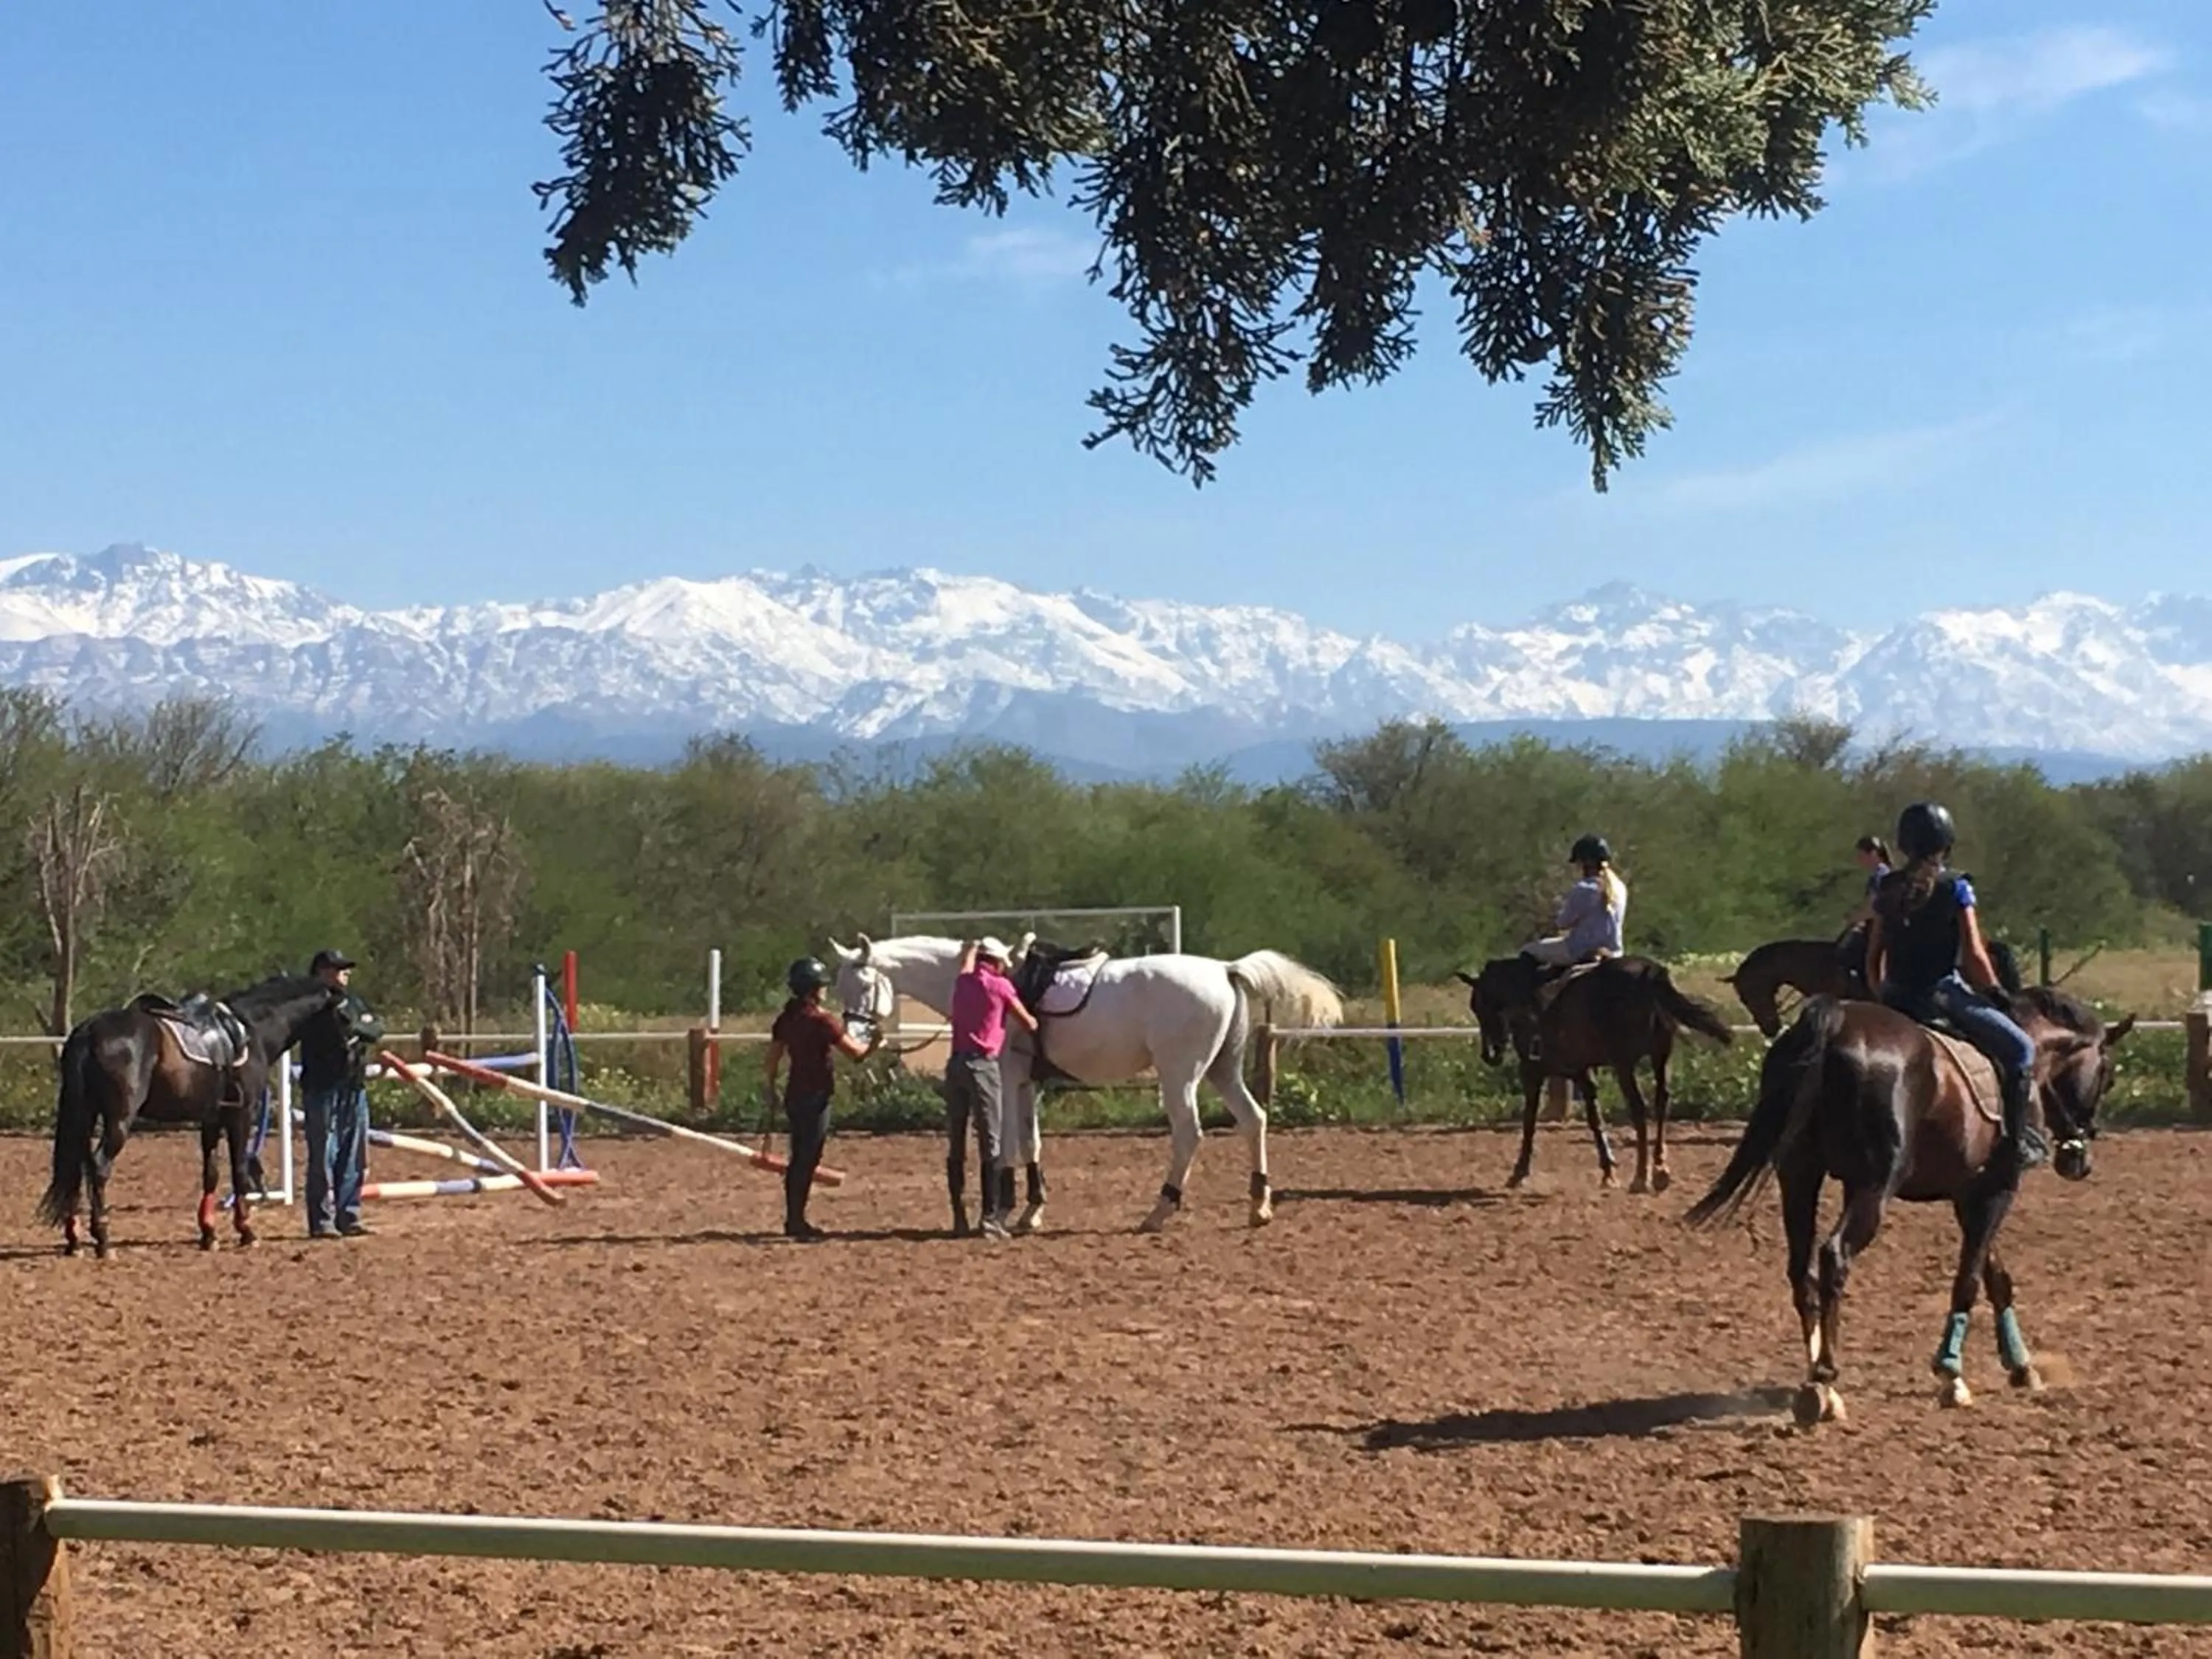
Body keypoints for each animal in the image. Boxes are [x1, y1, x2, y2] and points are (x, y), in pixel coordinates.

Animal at [37, 972, 341, 1257]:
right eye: (344, 1012)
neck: (251, 1030)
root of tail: (89, 1031)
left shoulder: (211, 1119)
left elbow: (211, 1173)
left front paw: (209, 1234)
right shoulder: (241, 1116)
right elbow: (240, 1171)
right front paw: (246, 1232)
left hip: (85, 1115)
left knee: (77, 1166)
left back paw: (74, 1240)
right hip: (119, 1120)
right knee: (99, 1167)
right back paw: (103, 1240)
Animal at [829, 933, 1343, 1233]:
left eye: (865, 985)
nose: (854, 1038)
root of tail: (1224, 968)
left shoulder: (1009, 1079)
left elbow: (1010, 1144)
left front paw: (1004, 1210)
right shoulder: (1029, 1085)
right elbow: (1032, 1143)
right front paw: (1032, 1210)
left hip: (1181, 1075)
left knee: (1189, 1133)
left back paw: (1160, 1210)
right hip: (1222, 1069)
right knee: (1253, 1120)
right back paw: (1259, 1205)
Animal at [1456, 954, 1736, 1194]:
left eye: (1481, 1005)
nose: (1490, 1054)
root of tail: (1648, 973)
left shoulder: (1532, 1072)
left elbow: (1529, 1121)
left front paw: (1519, 1173)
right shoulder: (1582, 1072)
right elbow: (1594, 1118)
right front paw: (1608, 1172)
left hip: (1624, 1065)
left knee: (1638, 1108)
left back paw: (1641, 1177)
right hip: (1660, 1058)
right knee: (1661, 1101)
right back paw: (1659, 1170)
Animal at [1684, 985, 2135, 1426]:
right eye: (2108, 1076)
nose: (2078, 1160)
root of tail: (1836, 1025)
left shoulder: (1969, 1193)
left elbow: (1996, 1277)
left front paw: (2022, 1367)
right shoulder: (1997, 1191)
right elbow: (1970, 1279)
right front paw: (1951, 1374)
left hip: (1799, 1175)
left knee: (1801, 1270)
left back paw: (1817, 1386)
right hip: (1874, 1187)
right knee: (1834, 1256)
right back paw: (1826, 1377)